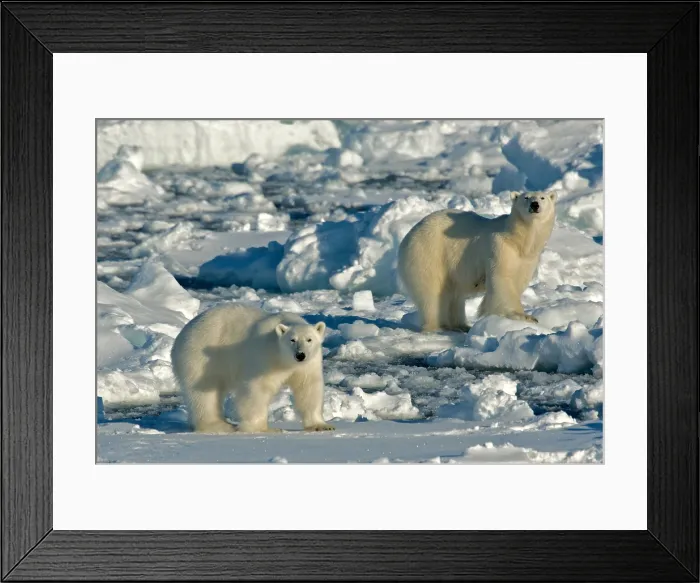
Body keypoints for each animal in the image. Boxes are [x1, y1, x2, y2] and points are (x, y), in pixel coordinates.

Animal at [170, 303, 334, 434]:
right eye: (292, 340)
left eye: (309, 339)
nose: (300, 355)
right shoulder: (264, 354)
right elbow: (257, 388)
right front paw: (264, 429)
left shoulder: (309, 364)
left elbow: (308, 387)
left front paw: (322, 425)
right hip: (200, 355)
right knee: (204, 392)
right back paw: (218, 425)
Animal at [397, 190, 557, 332]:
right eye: (526, 197)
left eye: (542, 197)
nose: (535, 205)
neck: (518, 240)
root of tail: (409, 235)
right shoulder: (499, 248)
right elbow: (502, 279)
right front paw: (524, 316)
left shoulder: (527, 259)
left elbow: (517, 281)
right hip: (429, 253)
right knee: (431, 292)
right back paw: (435, 326)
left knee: (454, 295)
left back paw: (460, 325)